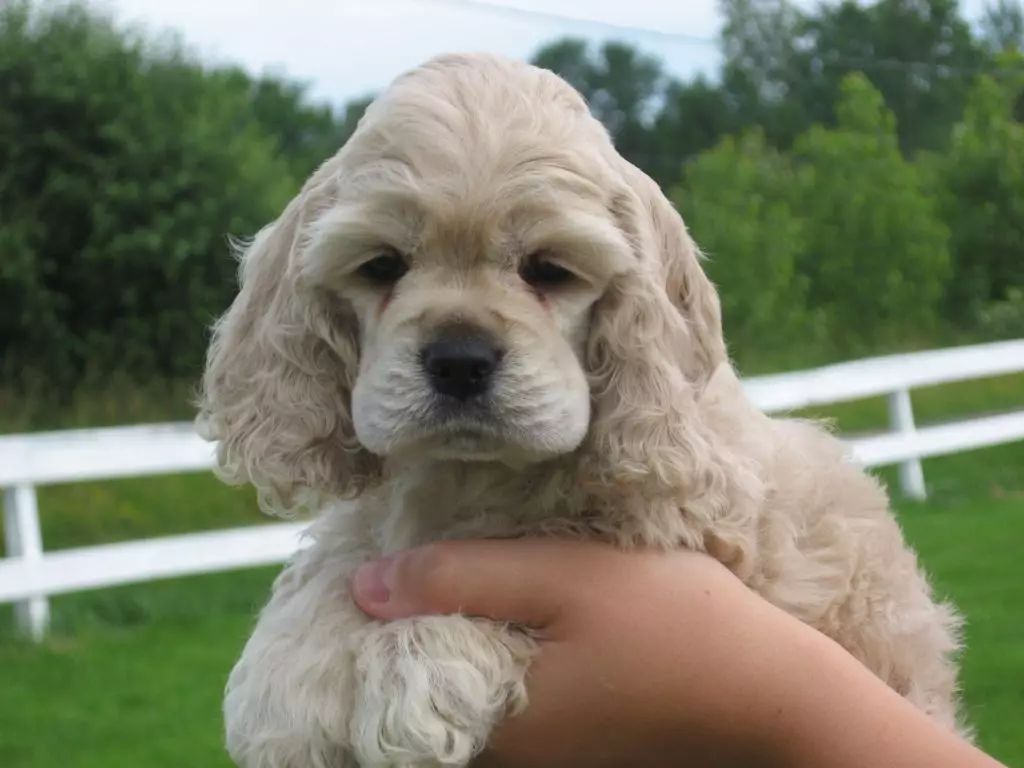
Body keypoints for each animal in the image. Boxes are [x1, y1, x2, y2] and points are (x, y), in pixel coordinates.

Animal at [197, 54, 966, 768]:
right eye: (382, 265)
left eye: (549, 269)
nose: (459, 360)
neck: (469, 473)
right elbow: (339, 555)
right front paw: (284, 687)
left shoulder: (687, 524)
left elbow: (524, 548)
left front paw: (419, 673)